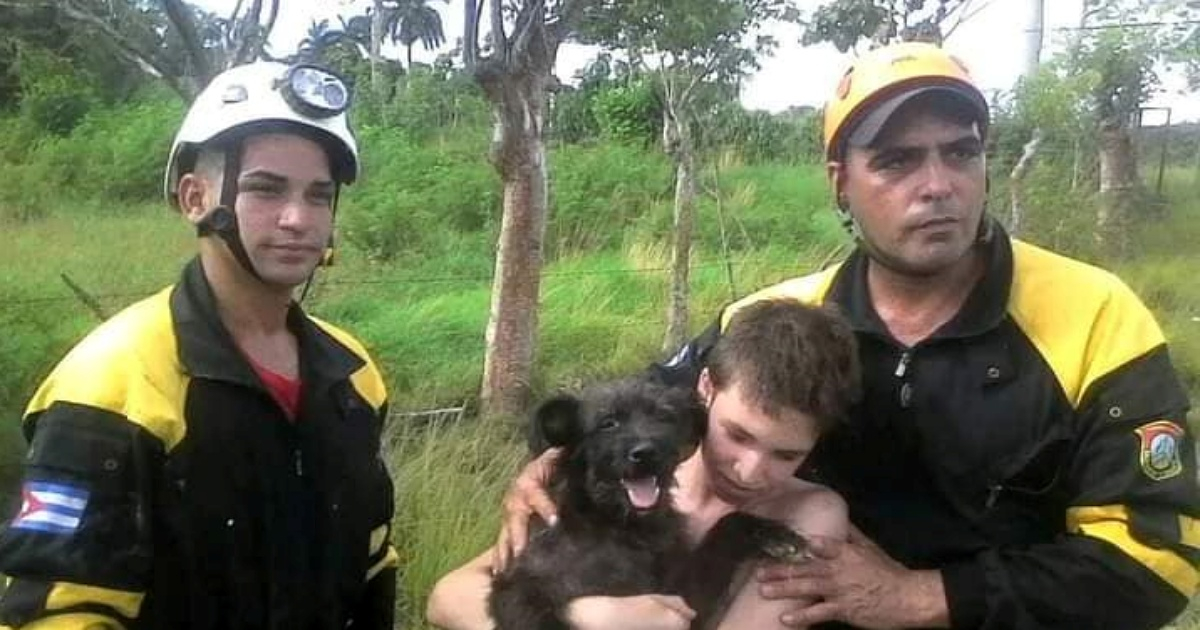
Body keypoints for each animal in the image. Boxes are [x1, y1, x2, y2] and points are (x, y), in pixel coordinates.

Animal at [487, 379, 806, 628]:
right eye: (608, 423)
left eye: (664, 416)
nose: (646, 453)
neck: (618, 526)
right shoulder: (517, 593)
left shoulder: (681, 598)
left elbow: (725, 528)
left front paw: (774, 535)